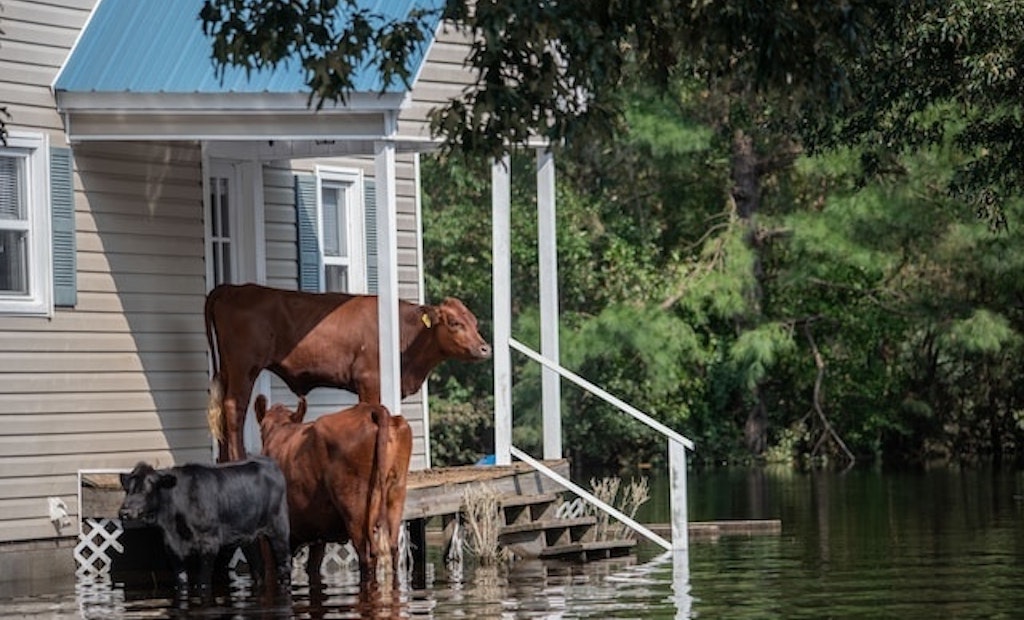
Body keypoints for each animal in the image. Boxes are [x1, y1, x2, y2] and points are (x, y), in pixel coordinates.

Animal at [117, 455, 292, 594]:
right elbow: (182, 581)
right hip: (249, 537)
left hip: (279, 529)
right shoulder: (172, 549)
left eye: (145, 489)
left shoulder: (209, 543)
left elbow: (203, 582)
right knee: (258, 568)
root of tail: (269, 462)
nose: (124, 512)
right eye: (127, 490)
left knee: (284, 565)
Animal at [204, 282, 491, 461]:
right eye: (454, 322)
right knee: (234, 408)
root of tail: (233, 288)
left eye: (474, 321)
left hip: (228, 367)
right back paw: (238, 458)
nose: (485, 348)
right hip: (243, 366)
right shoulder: (370, 381)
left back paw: (223, 460)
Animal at [252, 393, 411, 586]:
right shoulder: (317, 533)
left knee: (366, 557)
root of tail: (370, 409)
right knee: (394, 549)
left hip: (355, 510)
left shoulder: (267, 535)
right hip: (395, 493)